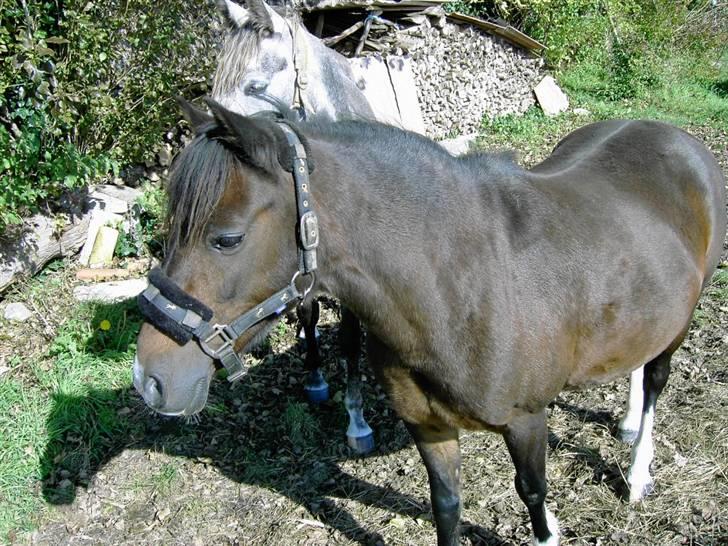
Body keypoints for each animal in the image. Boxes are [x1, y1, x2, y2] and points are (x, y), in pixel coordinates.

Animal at [134, 100, 724, 540]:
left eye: (226, 239)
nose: (149, 380)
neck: (457, 286)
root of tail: (676, 139)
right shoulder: (430, 428)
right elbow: (446, 506)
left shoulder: (527, 420)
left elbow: (533, 494)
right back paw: (626, 423)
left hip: (684, 319)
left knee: (656, 377)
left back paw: (639, 470)